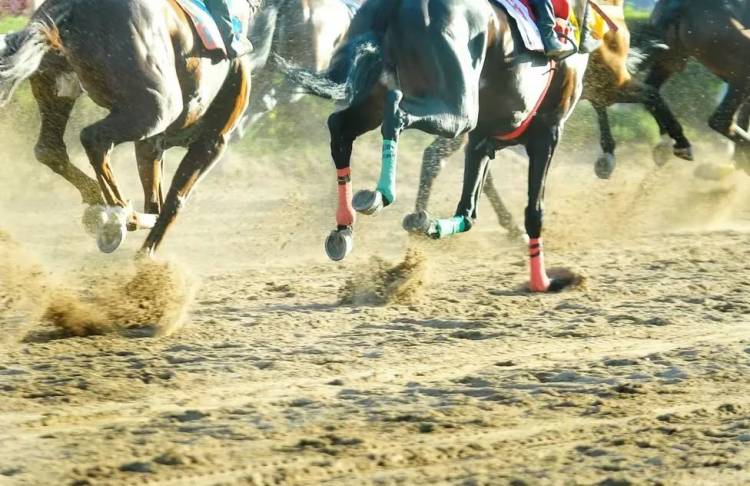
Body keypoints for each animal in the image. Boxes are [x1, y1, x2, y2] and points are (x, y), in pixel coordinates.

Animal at [0, 0, 258, 256]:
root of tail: (76, 5)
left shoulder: (152, 141)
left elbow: (156, 196)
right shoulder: (212, 141)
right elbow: (175, 200)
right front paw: (146, 255)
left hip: (57, 88)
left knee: (49, 149)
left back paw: (100, 203)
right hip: (155, 108)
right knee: (94, 138)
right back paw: (119, 217)